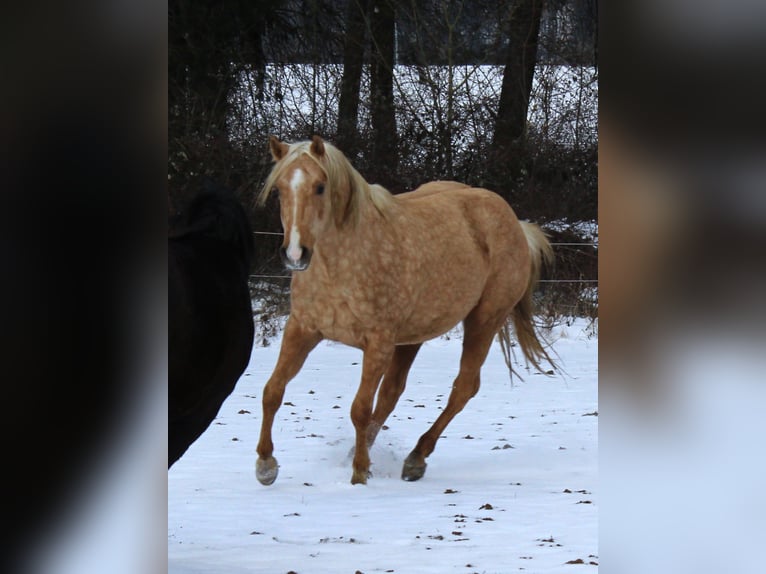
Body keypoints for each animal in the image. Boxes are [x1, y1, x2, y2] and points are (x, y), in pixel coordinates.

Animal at [255, 135, 555, 485]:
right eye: (279, 190)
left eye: (320, 187)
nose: (295, 254)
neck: (341, 265)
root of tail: (517, 224)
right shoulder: (302, 330)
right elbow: (272, 391)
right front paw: (265, 464)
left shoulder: (378, 344)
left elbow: (359, 408)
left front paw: (359, 474)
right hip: (414, 335)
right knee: (392, 393)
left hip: (484, 320)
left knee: (463, 388)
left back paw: (415, 457)